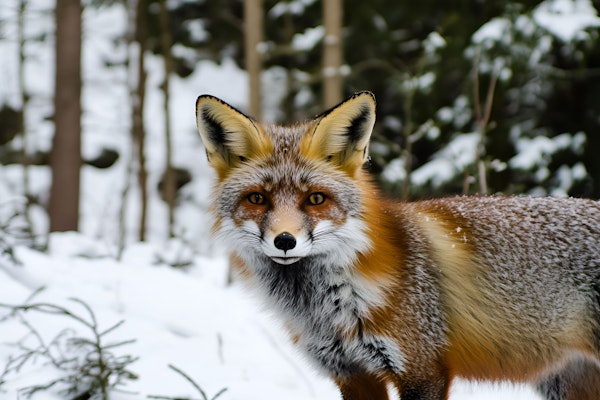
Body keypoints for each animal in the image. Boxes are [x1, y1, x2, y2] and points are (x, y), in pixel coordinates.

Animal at [196, 91, 600, 400]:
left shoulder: (423, 370)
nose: (284, 241)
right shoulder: (353, 375)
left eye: (315, 199)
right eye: (257, 199)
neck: (331, 307)